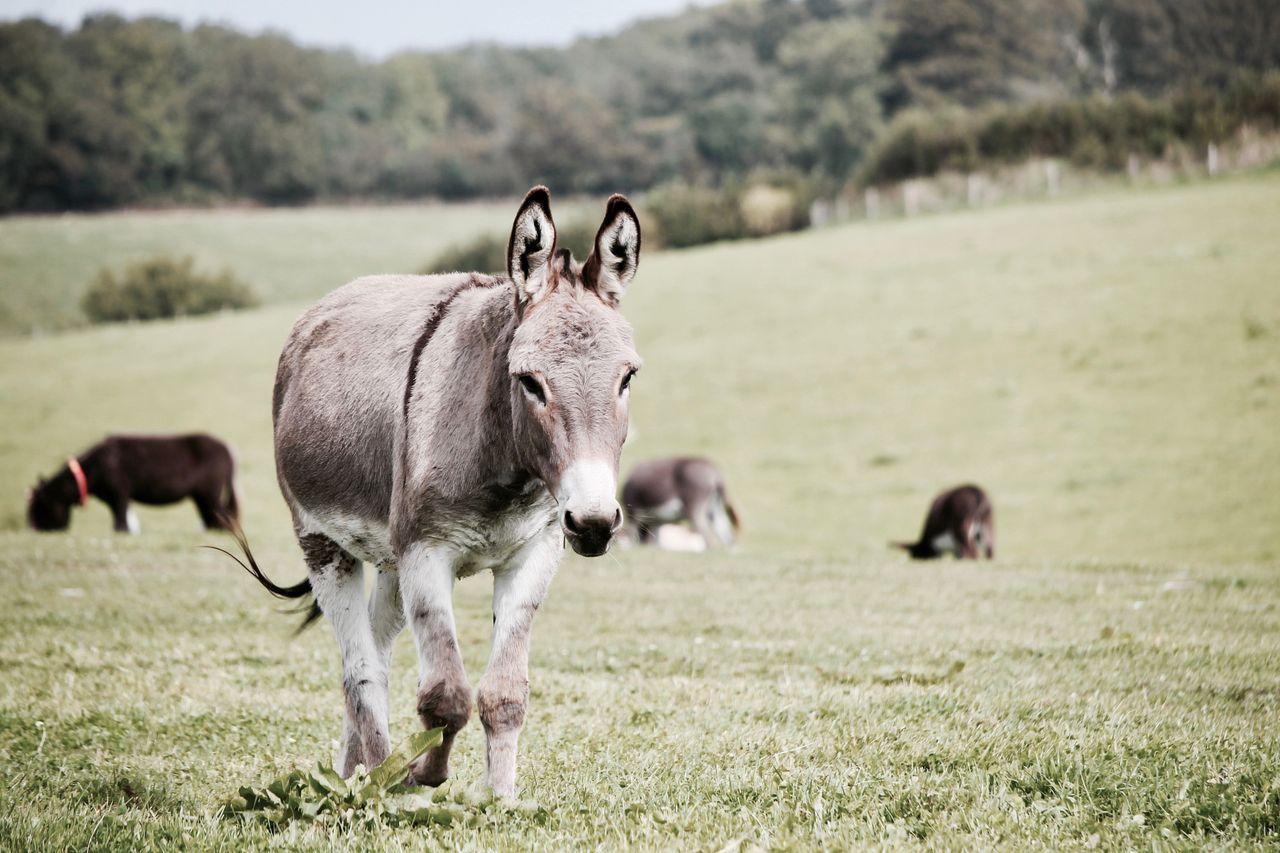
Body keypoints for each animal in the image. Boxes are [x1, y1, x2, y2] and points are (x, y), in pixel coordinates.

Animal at [26, 432, 239, 532]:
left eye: (41, 505)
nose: (35, 530)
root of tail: (228, 449)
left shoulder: (119, 494)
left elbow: (120, 520)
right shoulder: (113, 498)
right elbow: (117, 519)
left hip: (210, 493)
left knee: (223, 516)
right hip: (201, 497)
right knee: (212, 517)